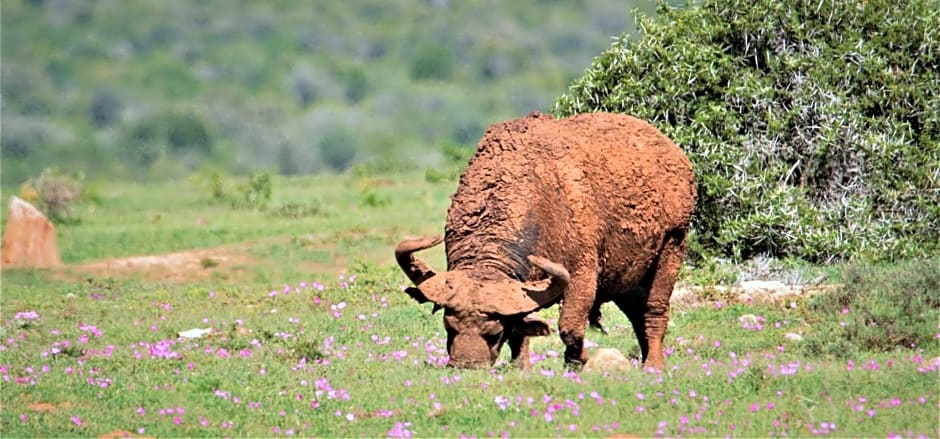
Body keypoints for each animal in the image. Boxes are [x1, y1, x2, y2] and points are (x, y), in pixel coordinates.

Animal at [396, 111, 696, 370]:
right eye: (449, 327)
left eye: (494, 334)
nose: (466, 365)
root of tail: (676, 155)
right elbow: (522, 329)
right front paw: (521, 367)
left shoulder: (582, 275)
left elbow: (569, 326)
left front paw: (576, 364)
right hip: (627, 279)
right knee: (637, 314)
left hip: (673, 245)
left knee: (654, 312)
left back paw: (654, 365)